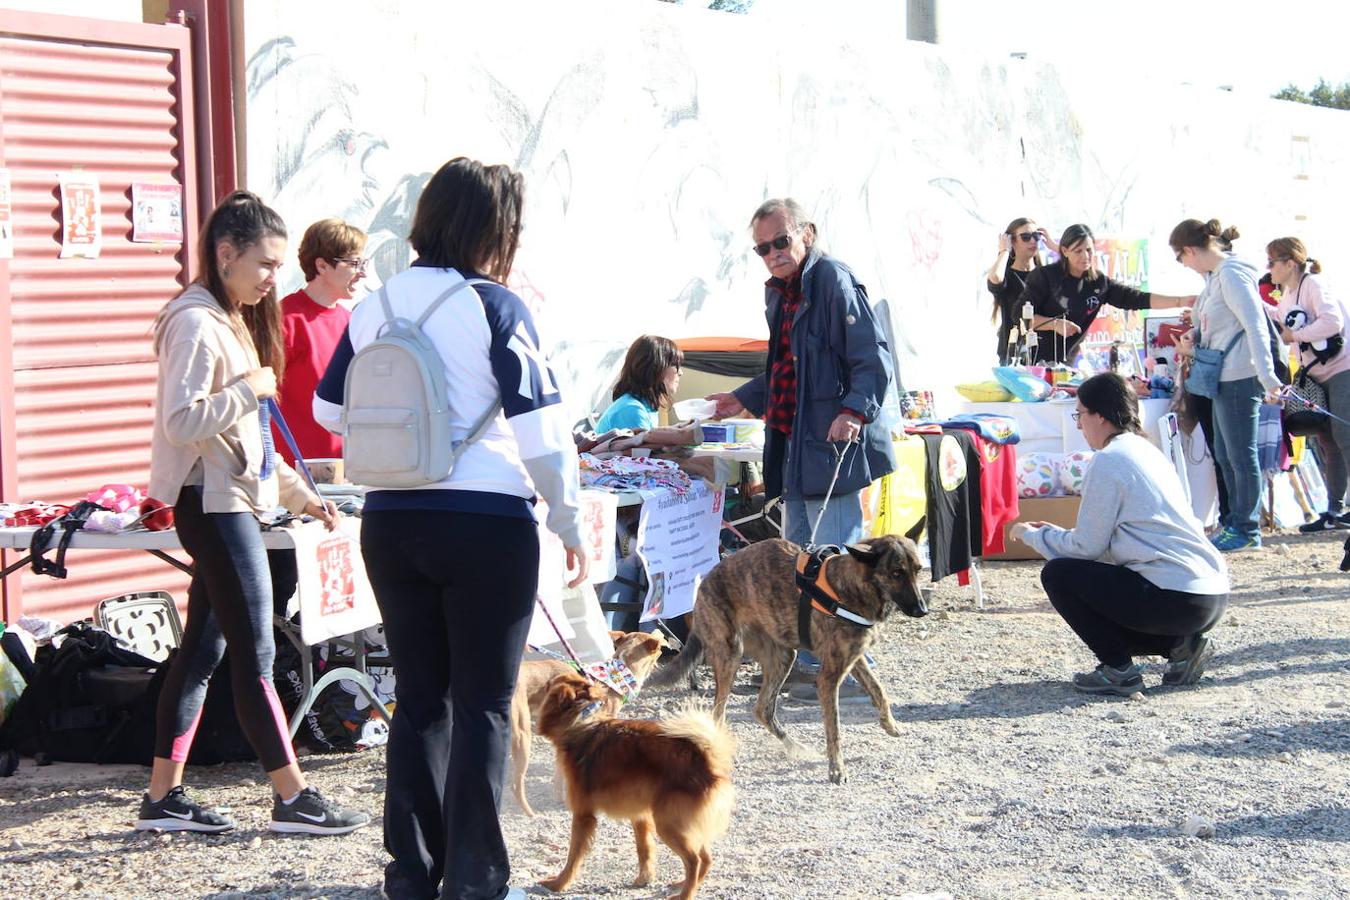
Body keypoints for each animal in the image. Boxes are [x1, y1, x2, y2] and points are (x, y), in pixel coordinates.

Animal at [507, 634, 666, 814]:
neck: (618, 673)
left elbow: (559, 773)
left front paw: (559, 798)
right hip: (522, 736)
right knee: (515, 785)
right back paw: (530, 814)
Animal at [534, 671, 739, 895]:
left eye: (550, 684)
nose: (544, 682)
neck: (582, 720)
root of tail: (705, 759)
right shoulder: (640, 816)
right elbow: (644, 849)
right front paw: (644, 878)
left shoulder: (583, 815)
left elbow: (573, 856)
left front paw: (559, 883)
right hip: (680, 824)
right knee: (706, 858)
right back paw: (681, 885)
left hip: (668, 823)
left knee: (694, 860)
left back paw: (685, 894)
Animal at [645, 534, 928, 782]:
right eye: (896, 573)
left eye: (918, 570)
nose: (922, 610)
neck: (851, 587)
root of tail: (703, 583)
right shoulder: (828, 677)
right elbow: (834, 728)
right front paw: (837, 769)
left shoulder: (853, 659)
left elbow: (879, 690)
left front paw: (890, 724)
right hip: (730, 655)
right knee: (719, 712)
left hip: (782, 656)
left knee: (762, 709)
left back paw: (796, 747)